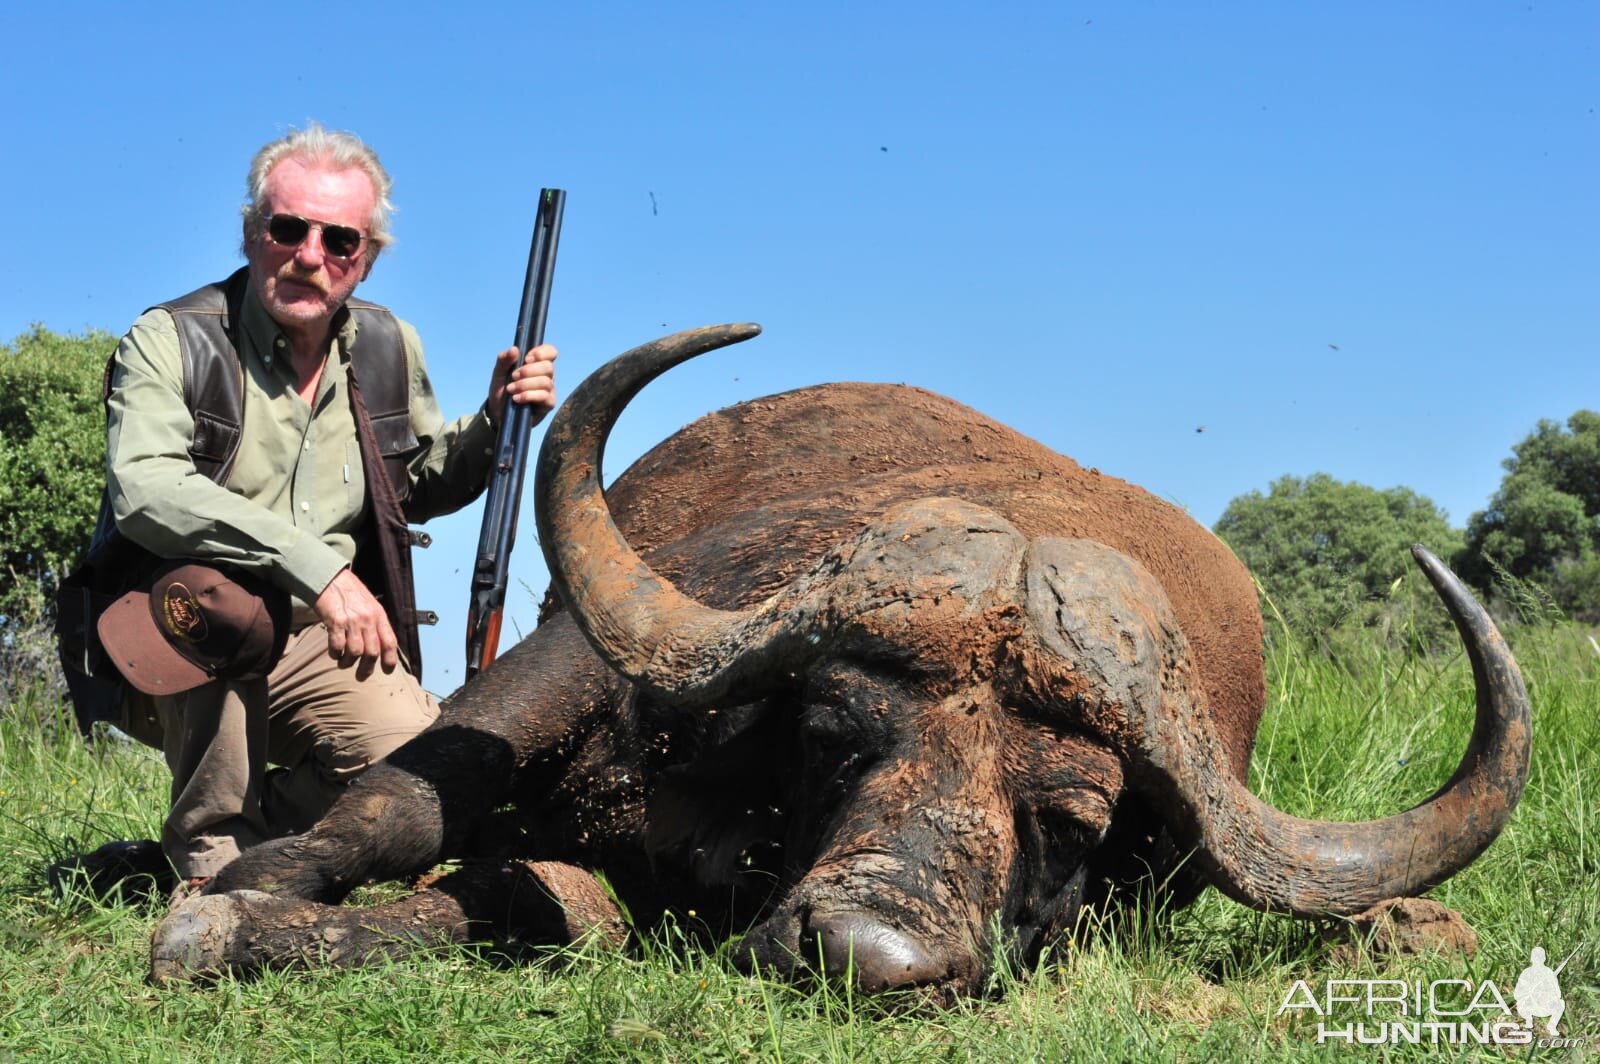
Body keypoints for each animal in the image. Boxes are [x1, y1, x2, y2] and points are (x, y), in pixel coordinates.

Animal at [152, 323, 1536, 998]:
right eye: (832, 737)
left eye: (1073, 822)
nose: (870, 955)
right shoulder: (579, 660)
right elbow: (399, 800)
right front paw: (240, 900)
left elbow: (554, 904)